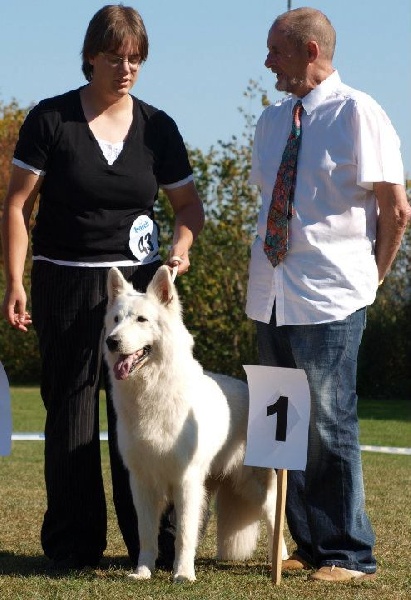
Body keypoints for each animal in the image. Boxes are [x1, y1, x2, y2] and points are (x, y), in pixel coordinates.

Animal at [104, 265, 287, 582]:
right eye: (116, 320)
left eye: (141, 320)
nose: (112, 341)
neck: (153, 391)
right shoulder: (142, 482)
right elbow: (146, 534)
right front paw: (143, 571)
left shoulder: (186, 481)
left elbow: (184, 534)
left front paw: (183, 574)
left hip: (253, 484)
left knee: (274, 515)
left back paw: (283, 558)